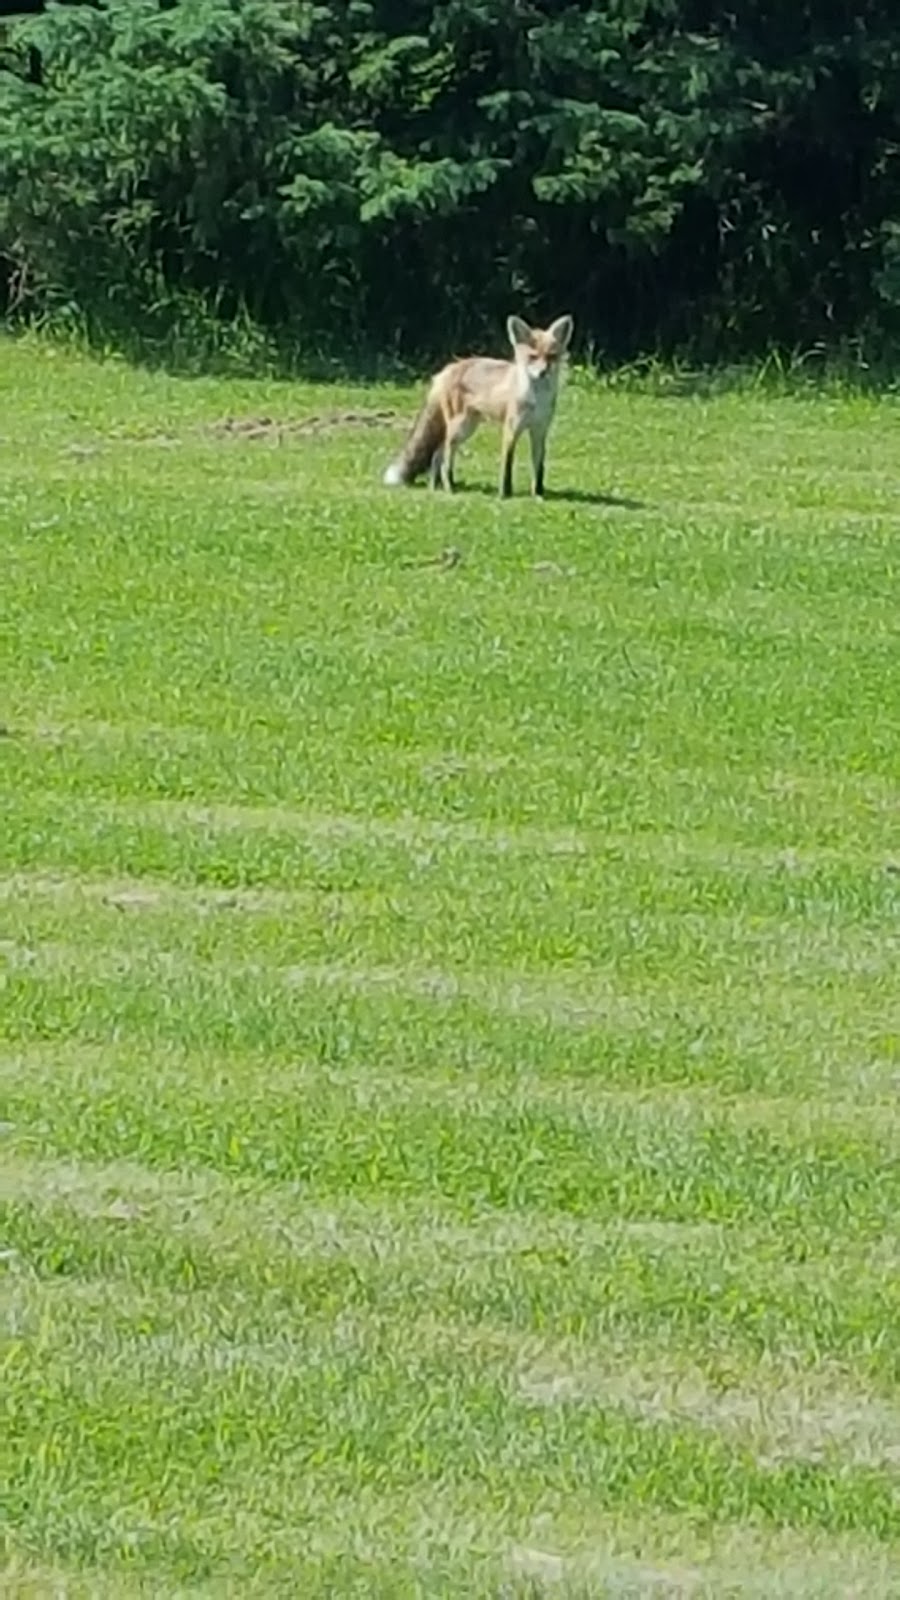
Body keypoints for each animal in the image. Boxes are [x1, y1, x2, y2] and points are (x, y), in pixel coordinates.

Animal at [381, 307, 570, 492]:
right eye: (533, 357)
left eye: (551, 356)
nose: (543, 372)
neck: (536, 398)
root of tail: (449, 368)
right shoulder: (511, 429)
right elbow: (507, 467)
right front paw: (505, 494)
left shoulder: (540, 430)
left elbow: (539, 467)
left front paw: (539, 494)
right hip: (460, 428)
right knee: (445, 457)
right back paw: (449, 488)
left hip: (467, 428)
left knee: (437, 455)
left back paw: (436, 487)